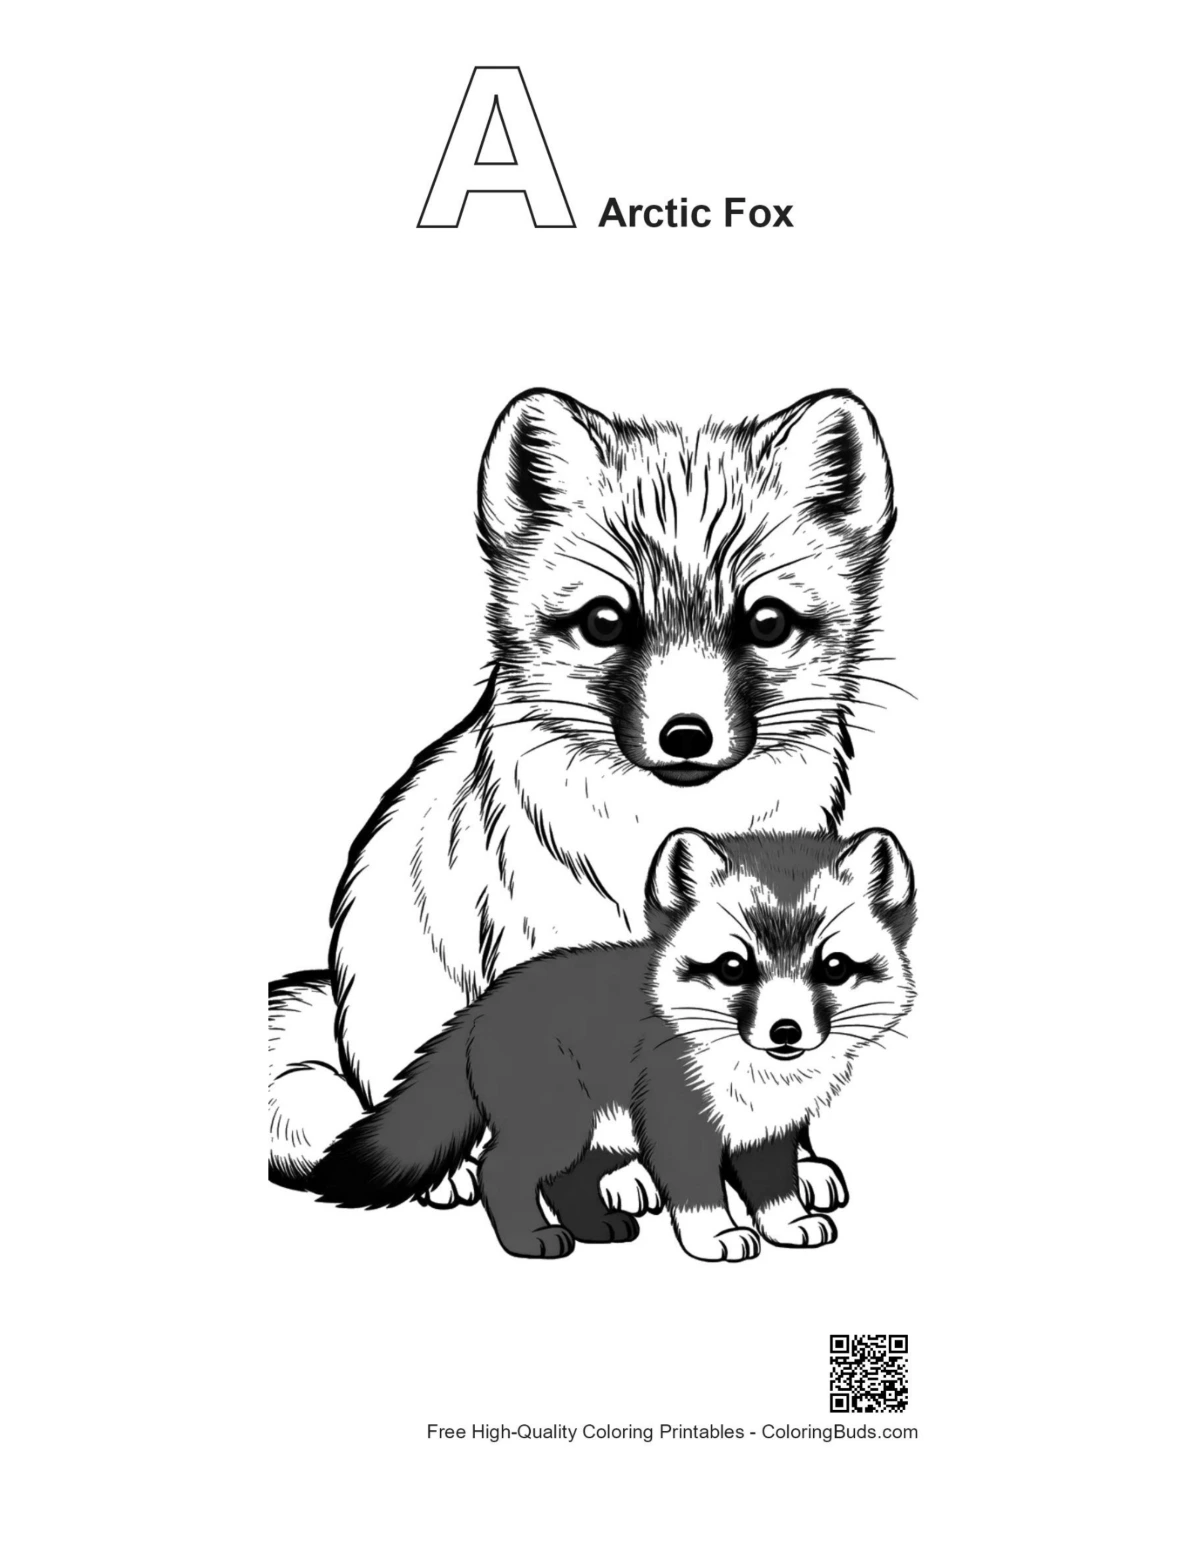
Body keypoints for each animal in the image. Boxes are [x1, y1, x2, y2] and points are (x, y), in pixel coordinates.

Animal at [307, 826, 917, 1261]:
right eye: (732, 966)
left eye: (834, 967)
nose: (785, 1031)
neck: (758, 1083)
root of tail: (484, 1005)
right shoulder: (677, 1120)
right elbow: (698, 1190)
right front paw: (715, 1238)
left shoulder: (768, 1129)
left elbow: (774, 1187)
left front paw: (788, 1226)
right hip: (559, 1125)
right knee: (498, 1171)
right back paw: (531, 1240)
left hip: (599, 1135)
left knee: (567, 1181)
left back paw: (596, 1227)